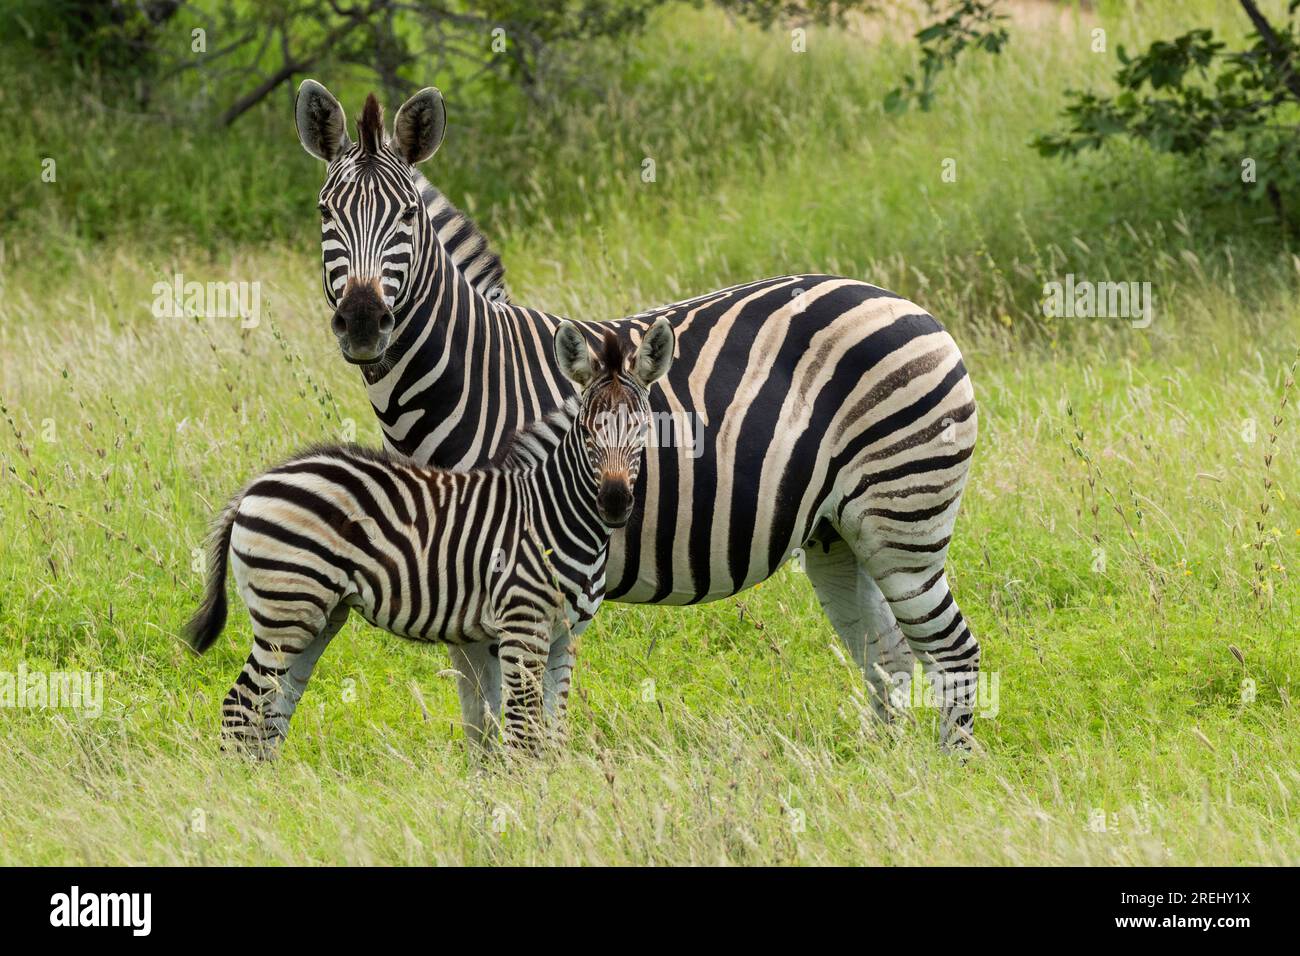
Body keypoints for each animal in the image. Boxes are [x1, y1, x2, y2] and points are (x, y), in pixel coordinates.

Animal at [183, 320, 676, 756]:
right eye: (588, 432)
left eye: (644, 429)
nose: (614, 503)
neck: (554, 514)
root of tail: (258, 483)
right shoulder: (522, 628)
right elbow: (523, 736)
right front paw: (522, 797)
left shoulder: (564, 637)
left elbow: (552, 738)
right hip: (286, 611)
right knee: (241, 706)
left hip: (317, 616)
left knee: (272, 710)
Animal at [293, 81, 981, 749]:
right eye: (325, 213)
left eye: (408, 215)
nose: (363, 323)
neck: (469, 376)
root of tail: (911, 306)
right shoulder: (457, 576)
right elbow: (478, 721)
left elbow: (522, 718)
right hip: (840, 533)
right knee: (890, 656)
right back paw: (882, 771)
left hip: (904, 521)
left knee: (954, 652)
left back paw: (950, 769)